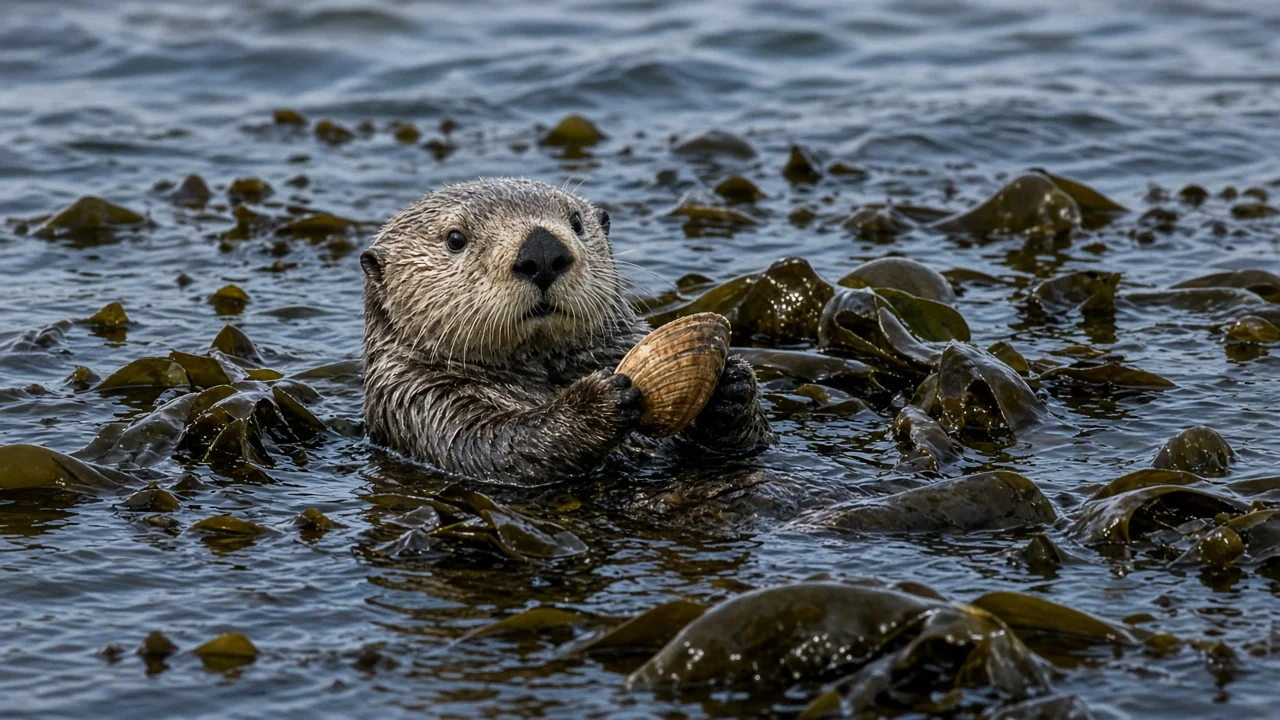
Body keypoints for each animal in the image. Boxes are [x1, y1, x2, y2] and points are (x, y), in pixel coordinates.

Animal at [360, 178, 773, 483]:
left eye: (576, 222)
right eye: (455, 239)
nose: (542, 253)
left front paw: (731, 385)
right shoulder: (426, 407)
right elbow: (498, 446)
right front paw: (595, 402)